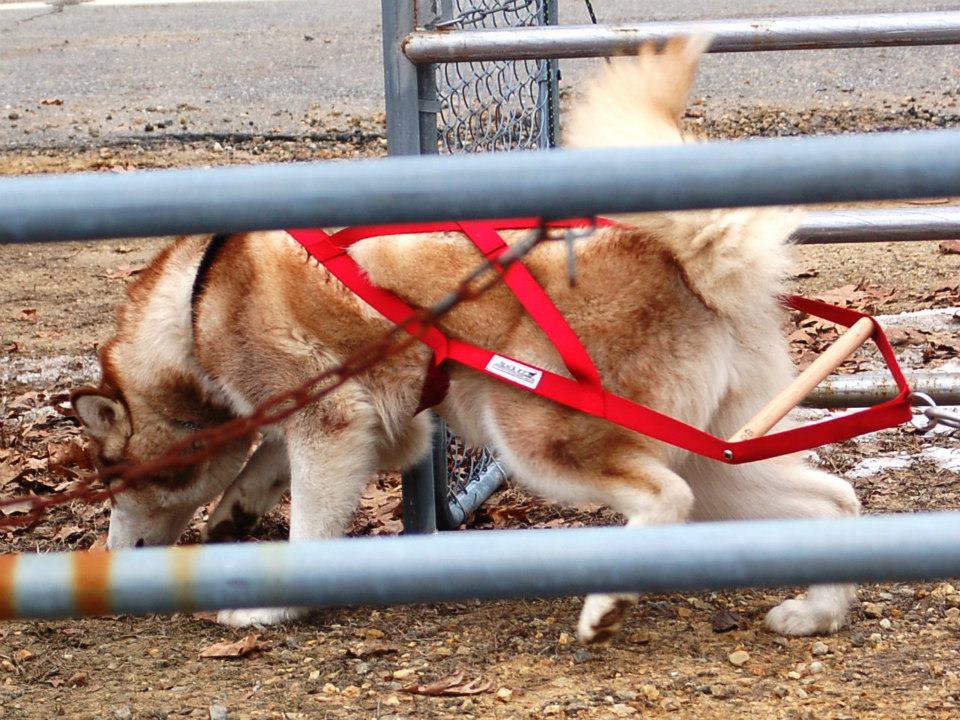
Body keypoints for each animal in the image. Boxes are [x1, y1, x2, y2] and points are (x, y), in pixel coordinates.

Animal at [73, 36, 856, 640]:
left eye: (112, 481)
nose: (108, 559)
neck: (194, 299)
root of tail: (685, 259)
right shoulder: (373, 430)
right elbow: (260, 469)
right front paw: (233, 516)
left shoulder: (331, 421)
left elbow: (308, 526)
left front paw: (271, 608)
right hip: (717, 457)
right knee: (834, 501)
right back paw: (816, 611)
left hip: (534, 437)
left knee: (666, 498)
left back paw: (607, 602)